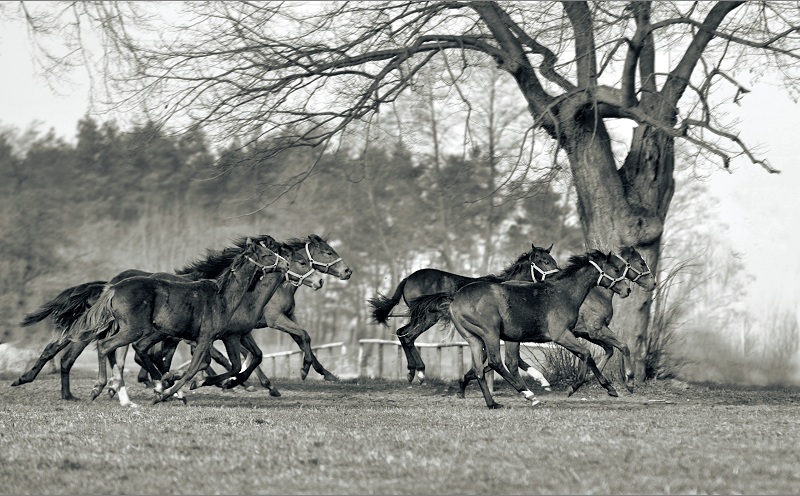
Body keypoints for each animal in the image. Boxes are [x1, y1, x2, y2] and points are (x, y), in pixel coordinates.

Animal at [368, 244, 556, 384]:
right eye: (545, 261)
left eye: (552, 260)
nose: (558, 275)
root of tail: (408, 278)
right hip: (428, 317)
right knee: (408, 337)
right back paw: (420, 372)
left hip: (420, 317)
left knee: (402, 333)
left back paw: (411, 372)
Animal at [412, 250, 632, 408]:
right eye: (615, 269)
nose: (627, 289)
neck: (562, 293)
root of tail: (455, 297)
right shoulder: (561, 335)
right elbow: (586, 354)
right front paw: (573, 387)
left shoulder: (567, 335)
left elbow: (589, 356)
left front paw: (610, 388)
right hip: (490, 334)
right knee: (496, 362)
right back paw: (529, 395)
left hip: (474, 338)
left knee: (480, 369)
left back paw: (492, 403)